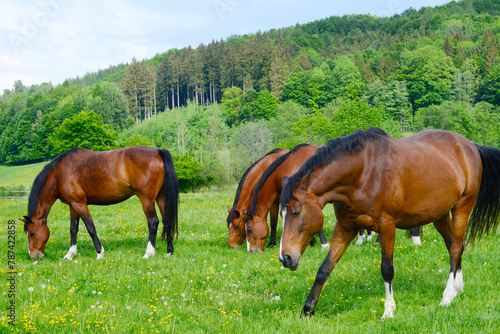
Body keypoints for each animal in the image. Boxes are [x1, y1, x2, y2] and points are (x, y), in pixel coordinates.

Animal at [20, 147, 180, 260]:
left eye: (32, 233)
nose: (33, 256)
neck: (60, 174)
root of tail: (158, 152)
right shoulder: (73, 205)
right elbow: (73, 229)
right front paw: (70, 255)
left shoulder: (80, 204)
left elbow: (90, 227)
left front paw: (99, 253)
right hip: (161, 198)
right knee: (167, 221)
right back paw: (169, 251)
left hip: (146, 200)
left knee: (153, 222)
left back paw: (148, 253)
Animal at [280, 128, 500, 318]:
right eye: (282, 214)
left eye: (296, 212)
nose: (286, 258)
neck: (363, 174)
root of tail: (470, 145)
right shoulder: (345, 227)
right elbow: (324, 268)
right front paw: (307, 310)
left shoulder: (386, 226)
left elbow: (387, 269)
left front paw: (389, 311)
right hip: (440, 214)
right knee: (455, 245)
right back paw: (457, 288)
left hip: (462, 207)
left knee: (455, 248)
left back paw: (447, 296)